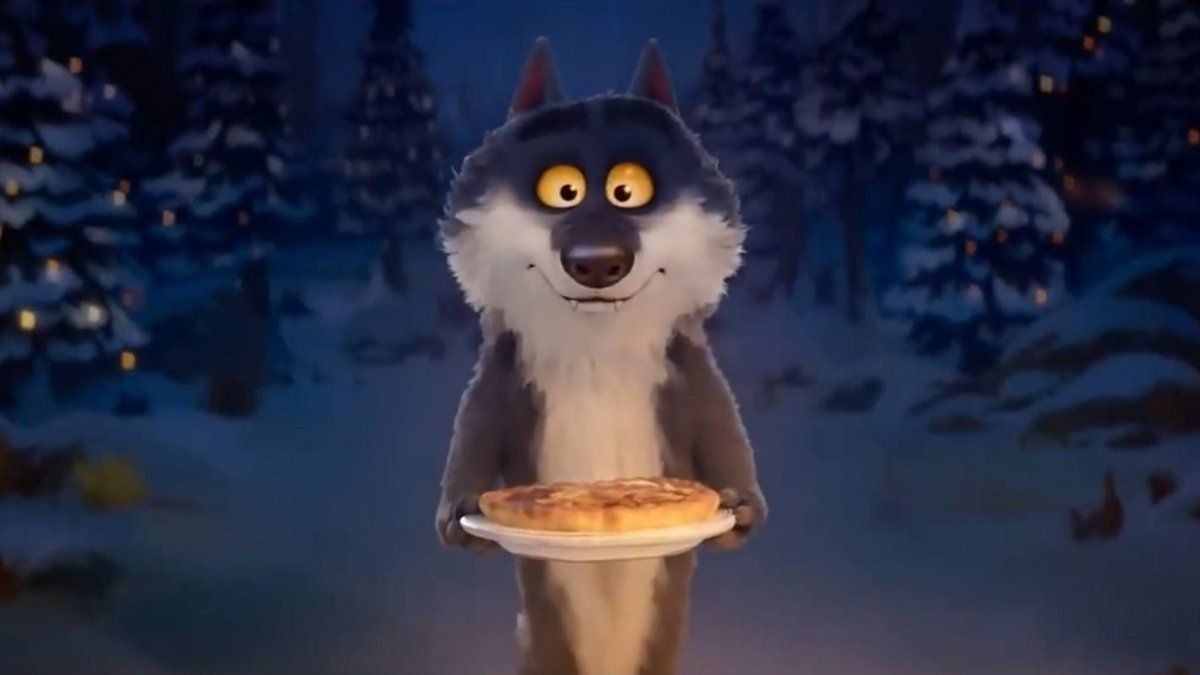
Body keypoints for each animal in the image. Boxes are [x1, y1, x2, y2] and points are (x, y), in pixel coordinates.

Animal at [435, 37, 767, 675]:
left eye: (627, 190)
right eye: (561, 190)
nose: (596, 262)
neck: (597, 348)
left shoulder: (688, 368)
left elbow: (722, 423)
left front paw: (740, 506)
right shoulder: (504, 371)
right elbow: (476, 425)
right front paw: (458, 512)